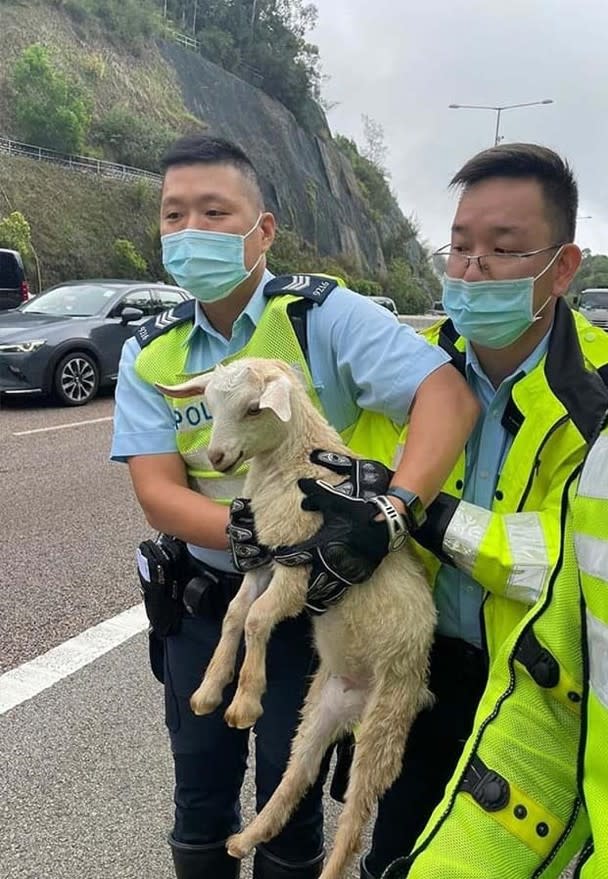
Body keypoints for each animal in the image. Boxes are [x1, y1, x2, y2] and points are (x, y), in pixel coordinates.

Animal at [159, 358, 434, 879]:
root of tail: (357, 700)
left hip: (387, 722)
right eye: (210, 406)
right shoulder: (263, 560)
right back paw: (245, 839)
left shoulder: (299, 566)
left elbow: (257, 620)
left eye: (253, 408)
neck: (292, 465)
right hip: (320, 707)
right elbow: (234, 615)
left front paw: (244, 701)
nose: (218, 456)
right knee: (297, 772)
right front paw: (209, 690)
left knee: (355, 816)